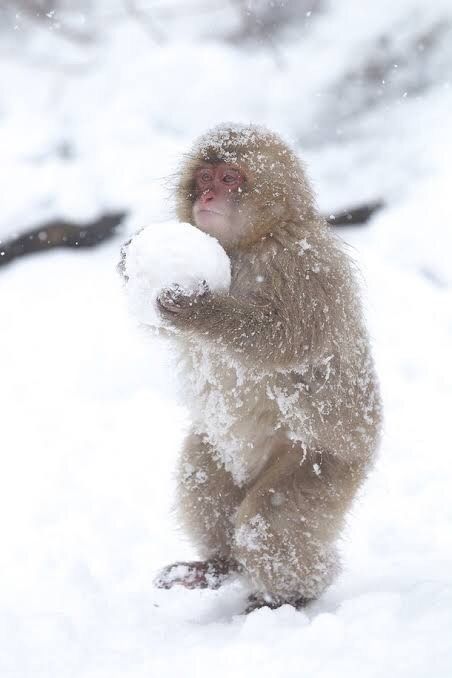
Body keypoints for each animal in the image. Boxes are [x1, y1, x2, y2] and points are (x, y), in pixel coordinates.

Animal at [131, 123, 382, 612]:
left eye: (230, 178)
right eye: (205, 177)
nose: (208, 196)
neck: (249, 244)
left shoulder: (302, 266)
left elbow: (284, 340)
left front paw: (198, 311)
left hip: (326, 465)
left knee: (269, 523)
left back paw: (288, 596)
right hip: (218, 447)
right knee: (204, 482)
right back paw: (217, 564)